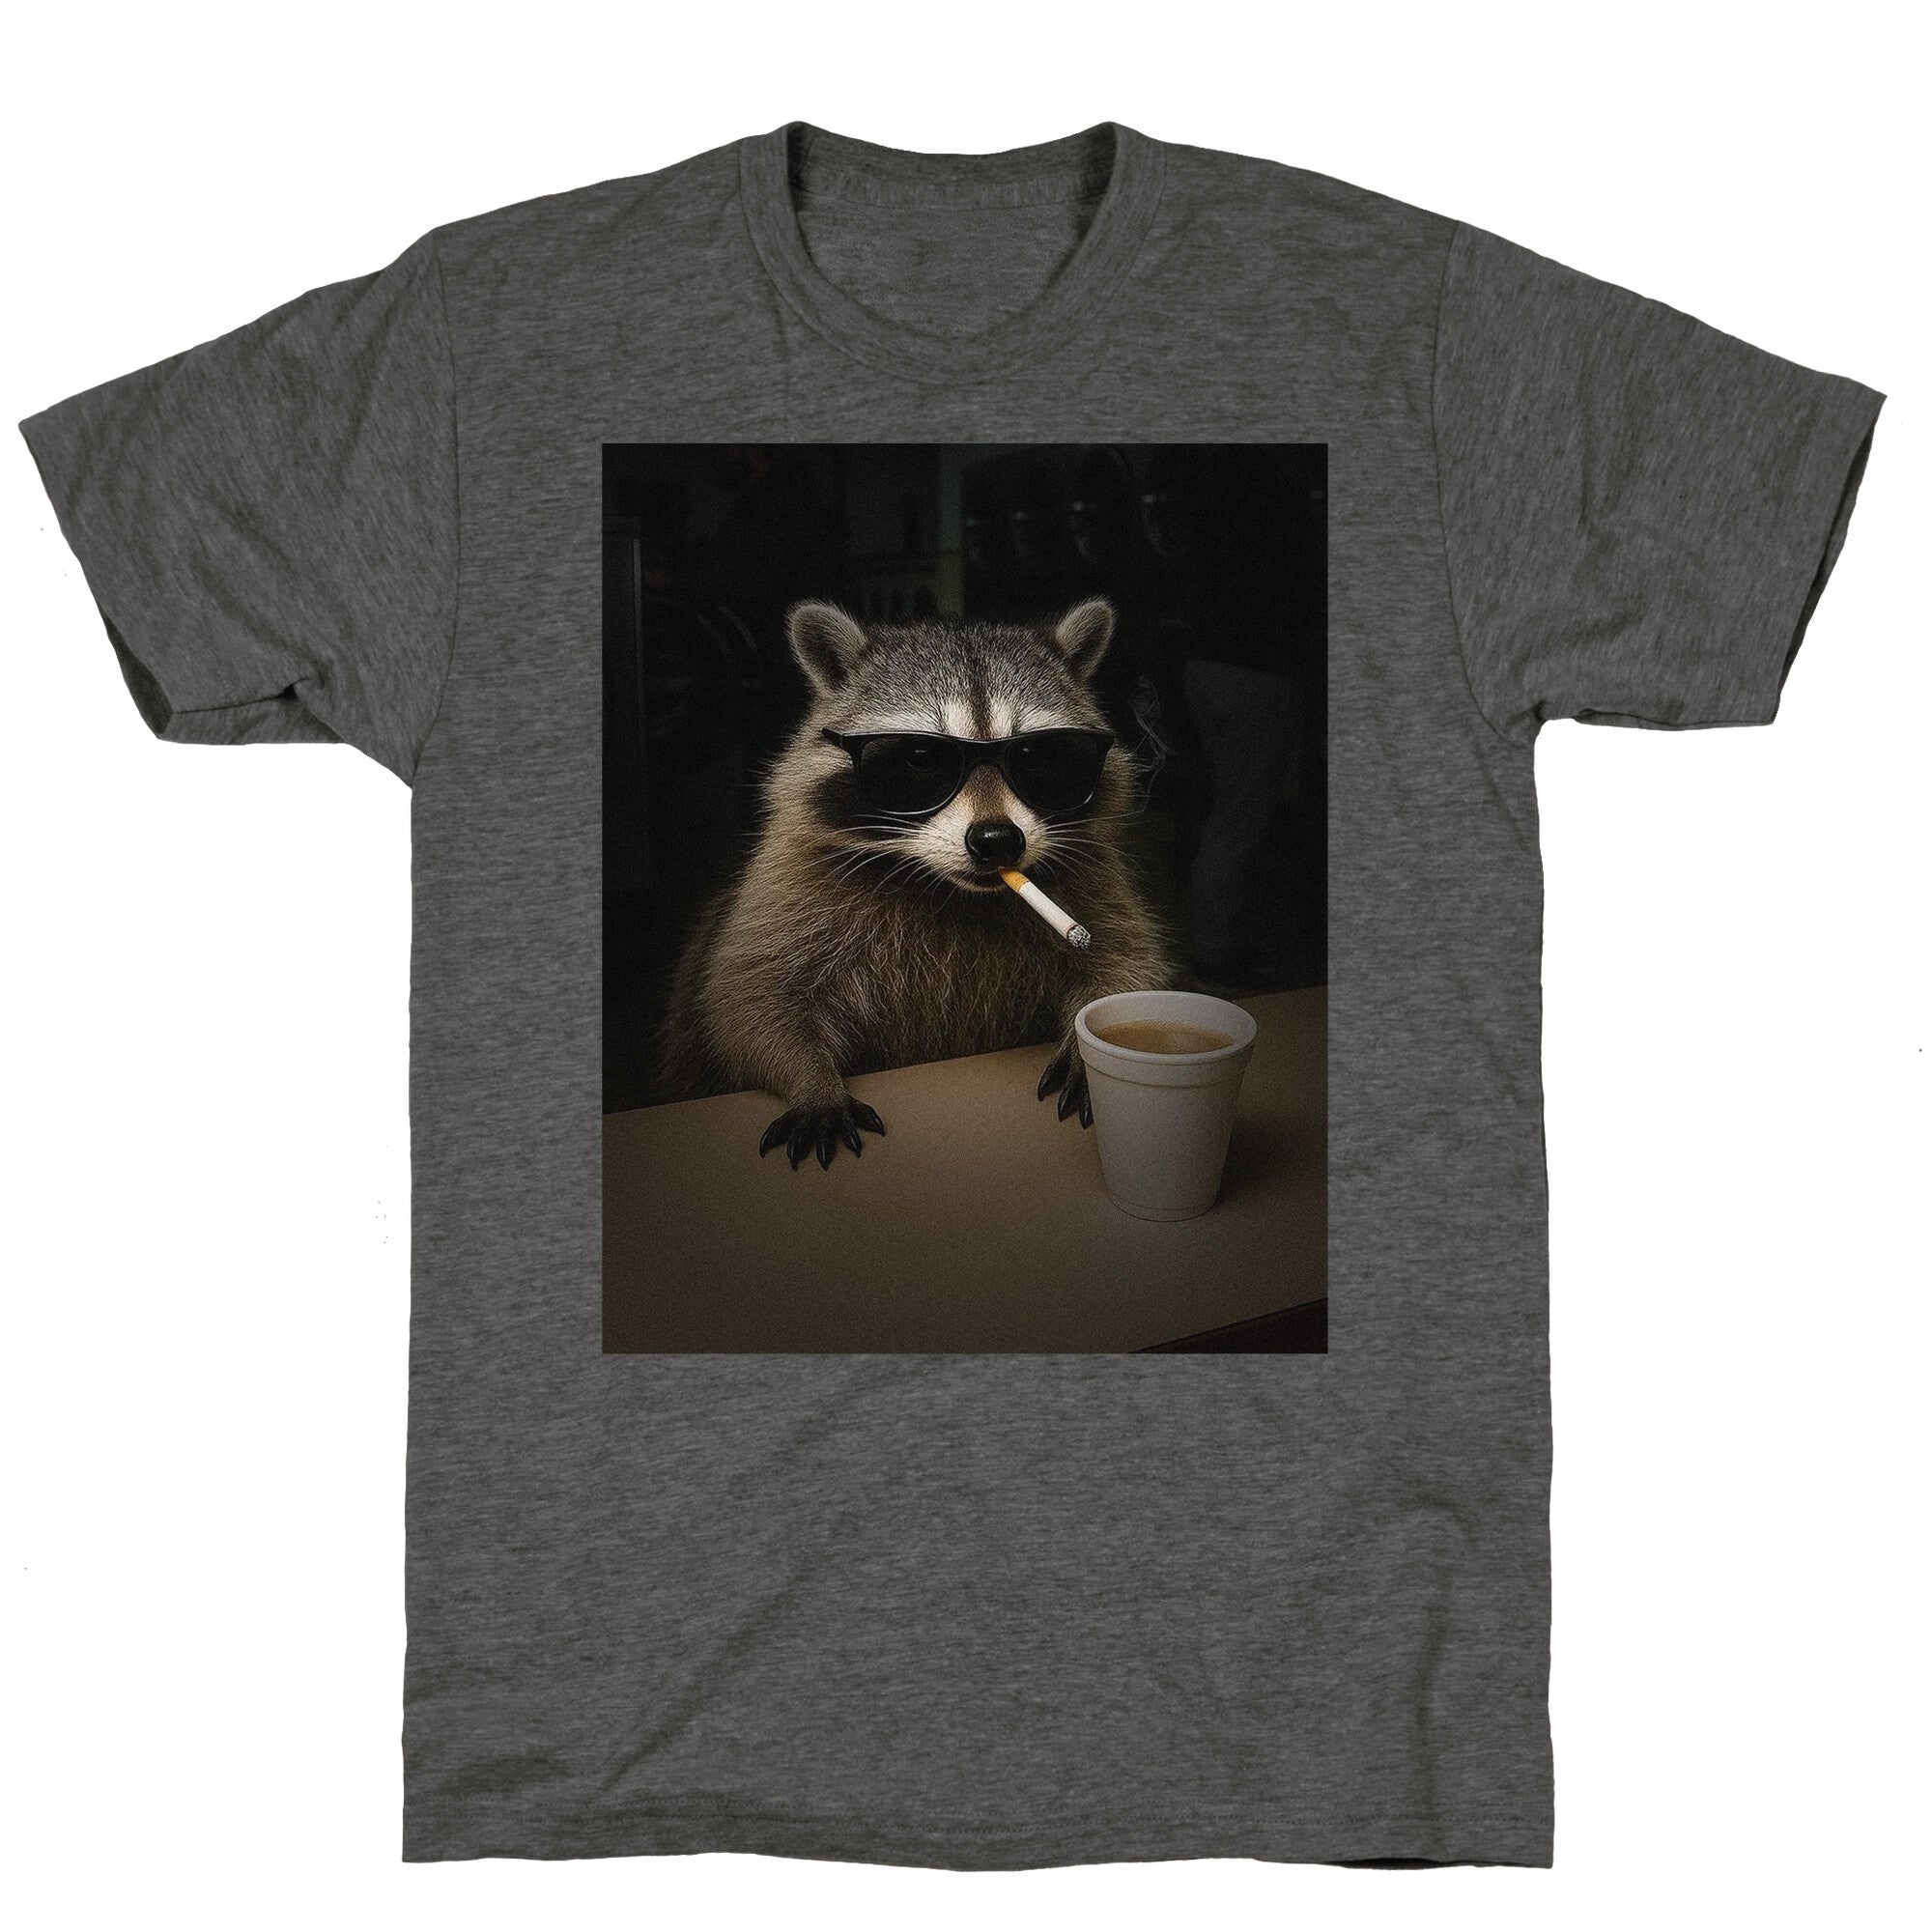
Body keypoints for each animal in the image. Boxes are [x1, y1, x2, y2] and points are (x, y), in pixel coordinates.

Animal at [660, 596, 1174, 1166]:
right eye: (920, 760)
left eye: (1038, 758)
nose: (998, 840)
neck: (953, 889)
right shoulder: (788, 886)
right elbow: (749, 1000)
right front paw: (811, 1080)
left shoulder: (1093, 878)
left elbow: (1126, 964)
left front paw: (1088, 1047)